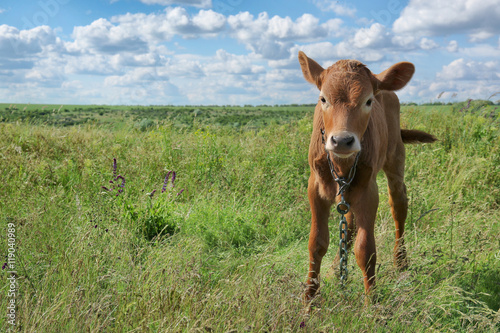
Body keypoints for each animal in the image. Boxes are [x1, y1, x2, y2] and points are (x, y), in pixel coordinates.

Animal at [298, 50, 436, 300]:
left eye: (368, 101)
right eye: (323, 99)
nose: (342, 140)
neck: (342, 166)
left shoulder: (369, 190)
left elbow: (366, 250)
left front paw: (372, 302)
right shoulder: (315, 187)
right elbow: (316, 243)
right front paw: (310, 298)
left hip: (395, 158)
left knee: (399, 206)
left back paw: (401, 260)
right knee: (350, 224)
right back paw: (335, 268)